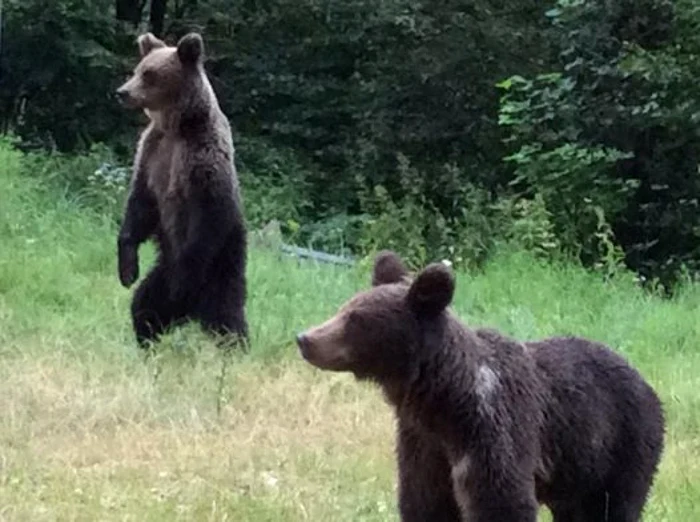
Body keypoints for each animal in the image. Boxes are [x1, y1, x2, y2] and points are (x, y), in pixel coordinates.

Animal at [113, 33, 247, 350]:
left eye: (149, 74)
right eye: (137, 69)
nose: (122, 92)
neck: (177, 125)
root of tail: (190, 311)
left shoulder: (202, 160)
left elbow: (208, 213)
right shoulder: (152, 154)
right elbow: (140, 206)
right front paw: (127, 270)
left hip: (222, 263)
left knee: (226, 315)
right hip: (164, 268)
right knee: (145, 305)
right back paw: (147, 342)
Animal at [296, 250, 668, 516]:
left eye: (356, 320)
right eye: (344, 308)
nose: (305, 338)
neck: (443, 402)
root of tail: (646, 382)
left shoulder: (493, 430)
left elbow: (501, 500)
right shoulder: (423, 444)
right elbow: (425, 501)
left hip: (620, 447)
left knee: (611, 507)